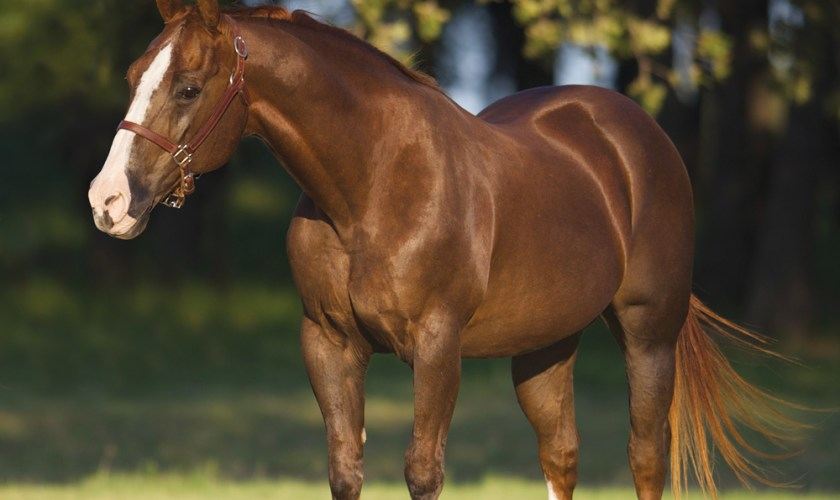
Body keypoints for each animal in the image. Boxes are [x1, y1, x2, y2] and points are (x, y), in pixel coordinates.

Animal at [87, 1, 800, 498]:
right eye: (133, 75)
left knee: (645, 457)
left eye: (188, 86)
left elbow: (422, 470)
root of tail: (636, 132)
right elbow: (346, 468)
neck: (370, 188)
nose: (108, 201)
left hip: (649, 334)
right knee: (561, 454)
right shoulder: (328, 342)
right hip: (545, 347)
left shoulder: (436, 345)